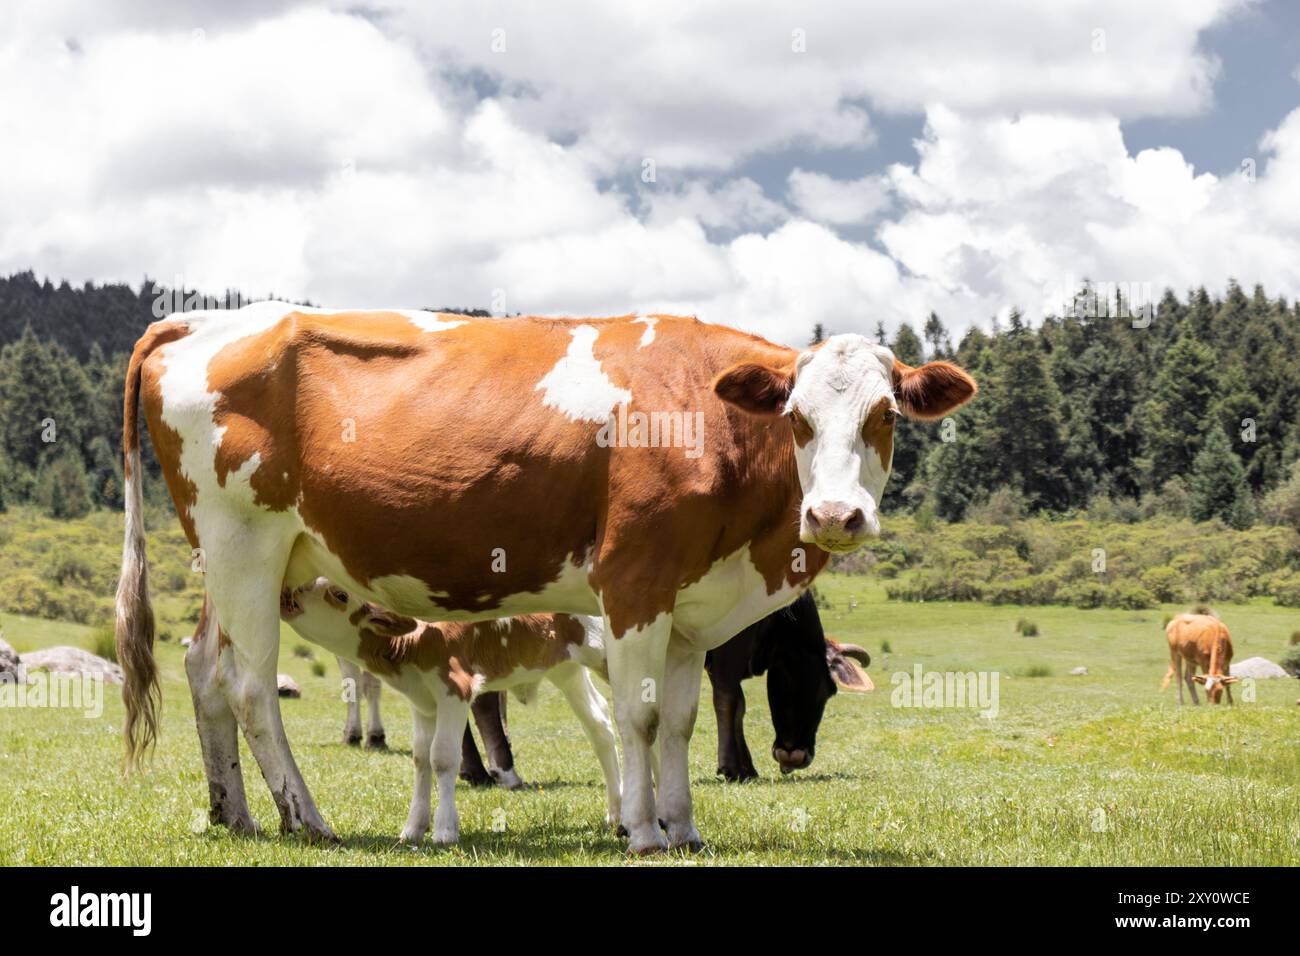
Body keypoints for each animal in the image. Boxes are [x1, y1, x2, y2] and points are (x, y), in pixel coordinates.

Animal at [279, 578, 619, 843]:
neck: (417, 638)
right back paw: (616, 811)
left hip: (609, 658)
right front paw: (413, 829)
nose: (289, 594)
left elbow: (442, 757)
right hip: (567, 670)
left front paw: (444, 830)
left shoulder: (455, 690)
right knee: (600, 724)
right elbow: (420, 758)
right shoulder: (422, 701)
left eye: (340, 594)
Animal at [705, 591, 872, 780]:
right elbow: (728, 699)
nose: (793, 756)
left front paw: (748, 768)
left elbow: (739, 706)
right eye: (829, 691)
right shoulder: (729, 643)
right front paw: (733, 768)